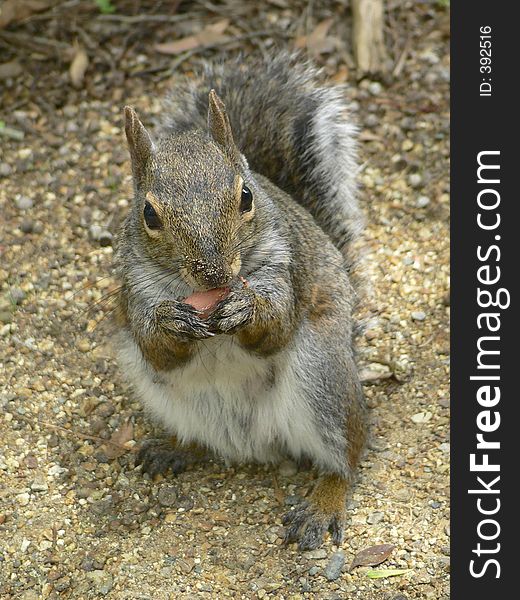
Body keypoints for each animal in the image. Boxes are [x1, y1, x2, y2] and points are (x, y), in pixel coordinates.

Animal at [115, 51, 366, 548]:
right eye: (149, 214)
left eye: (246, 196)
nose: (214, 274)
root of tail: (254, 442)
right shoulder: (136, 289)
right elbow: (156, 348)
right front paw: (170, 322)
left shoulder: (284, 270)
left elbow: (275, 329)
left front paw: (247, 309)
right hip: (162, 393)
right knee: (199, 434)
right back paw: (173, 448)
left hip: (324, 378)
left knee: (347, 456)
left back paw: (323, 502)